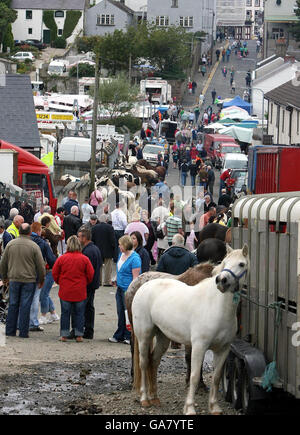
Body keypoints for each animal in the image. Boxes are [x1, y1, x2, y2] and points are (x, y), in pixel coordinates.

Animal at [132, 245, 250, 416]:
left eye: (241, 264)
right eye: (225, 262)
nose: (222, 281)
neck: (216, 306)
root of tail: (143, 286)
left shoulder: (223, 349)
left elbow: (216, 377)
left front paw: (214, 407)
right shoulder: (199, 347)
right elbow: (194, 376)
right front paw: (189, 408)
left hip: (163, 337)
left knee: (153, 361)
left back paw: (154, 397)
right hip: (144, 335)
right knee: (143, 363)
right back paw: (144, 399)